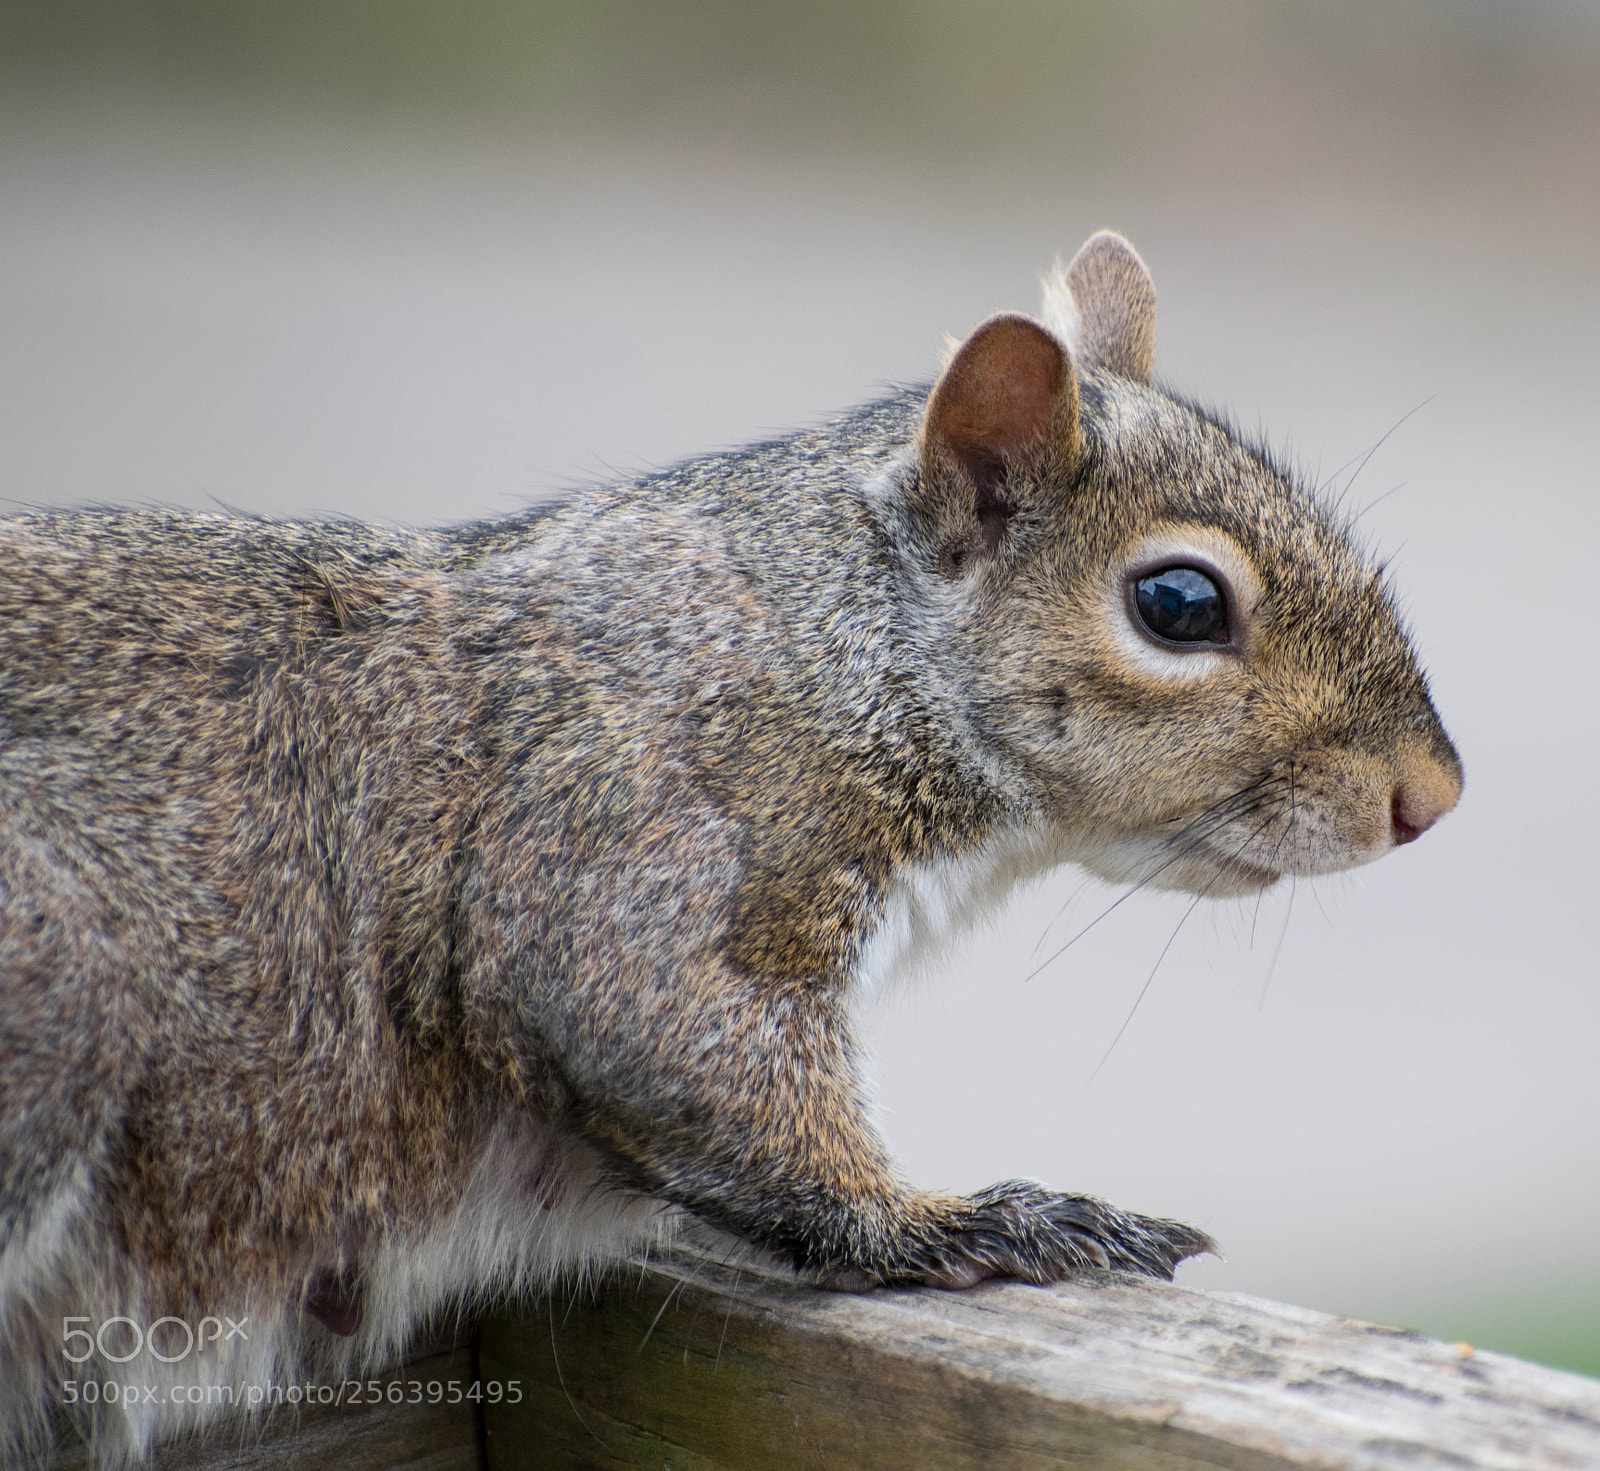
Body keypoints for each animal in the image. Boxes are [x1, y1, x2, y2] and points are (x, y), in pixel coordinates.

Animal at [0, 231, 1461, 1464]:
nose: (1431, 796)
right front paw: (963, 1218)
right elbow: (686, 1050)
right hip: (56, 990)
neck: (834, 647)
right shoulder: (630, 841)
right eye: (1179, 604)